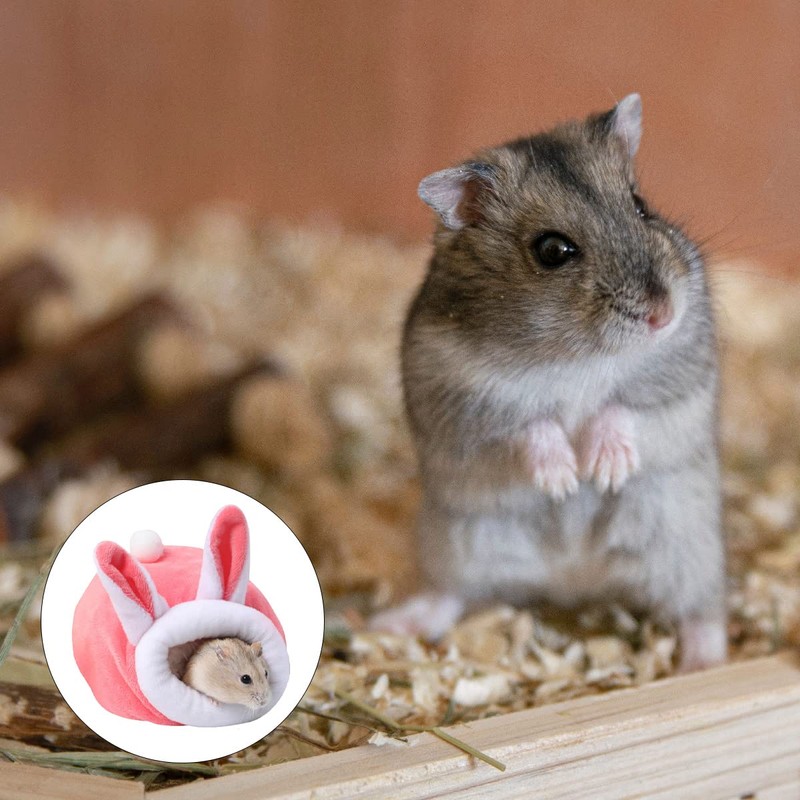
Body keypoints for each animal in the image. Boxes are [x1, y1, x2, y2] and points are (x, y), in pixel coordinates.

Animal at [372, 94, 726, 672]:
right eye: (552, 250)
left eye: (640, 204)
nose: (663, 314)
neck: (577, 355)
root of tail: (574, 581)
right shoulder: (463, 400)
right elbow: (528, 425)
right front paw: (563, 480)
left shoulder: (680, 378)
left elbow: (623, 408)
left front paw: (603, 471)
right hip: (456, 543)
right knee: (450, 594)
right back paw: (391, 624)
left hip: (687, 544)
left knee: (703, 610)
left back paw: (702, 664)